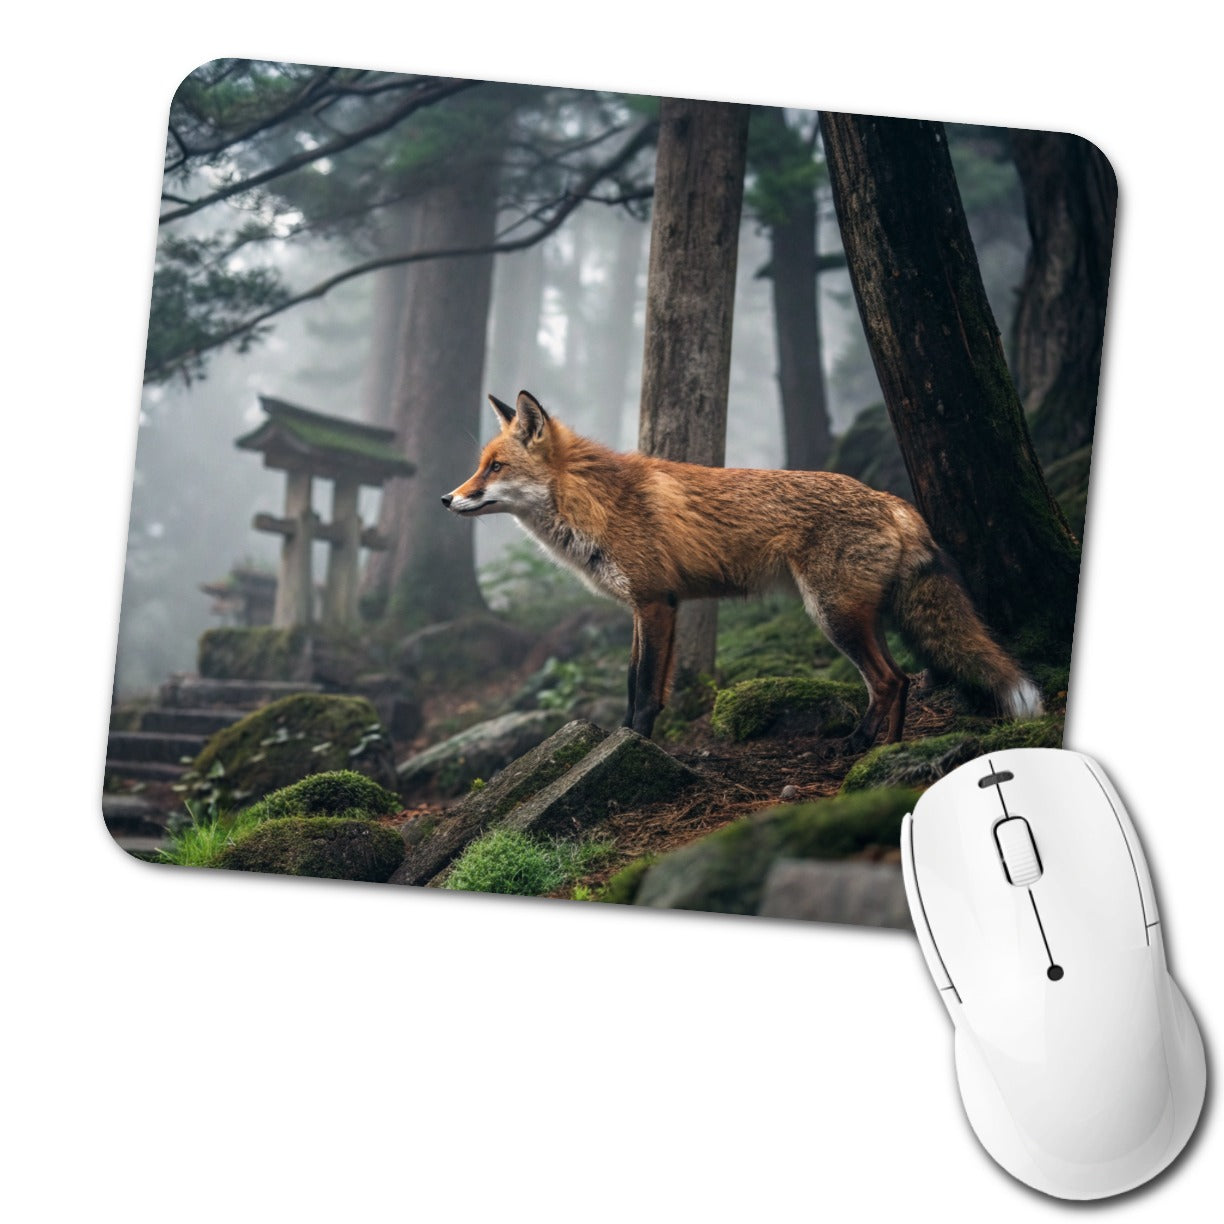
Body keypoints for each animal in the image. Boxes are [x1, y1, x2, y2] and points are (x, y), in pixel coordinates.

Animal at [442, 389, 1043, 747]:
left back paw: (860, 748)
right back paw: (884, 748)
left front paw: (637, 743)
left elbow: (645, 689)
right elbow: (635, 680)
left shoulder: (655, 603)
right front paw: (623, 737)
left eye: (495, 468)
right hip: (860, 616)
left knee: (890, 680)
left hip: (833, 616)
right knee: (899, 680)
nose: (447, 499)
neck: (596, 505)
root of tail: (888, 498)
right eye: (479, 466)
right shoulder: (648, 606)